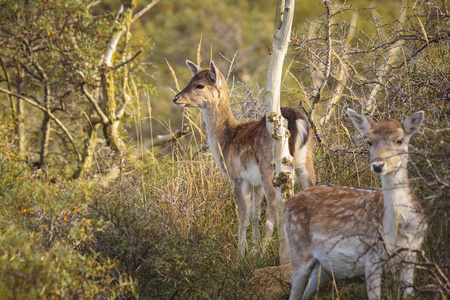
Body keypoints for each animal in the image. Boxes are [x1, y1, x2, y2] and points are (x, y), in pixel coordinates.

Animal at [172, 61, 316, 255]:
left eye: (199, 85)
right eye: (190, 80)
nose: (176, 98)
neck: (226, 140)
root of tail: (294, 120)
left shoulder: (238, 178)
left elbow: (243, 217)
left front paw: (241, 254)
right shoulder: (255, 183)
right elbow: (255, 216)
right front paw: (252, 251)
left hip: (270, 167)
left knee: (273, 210)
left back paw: (264, 251)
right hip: (306, 162)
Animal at [284, 109, 428, 300]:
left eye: (399, 140)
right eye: (369, 141)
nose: (378, 165)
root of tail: (287, 204)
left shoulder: (412, 253)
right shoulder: (372, 256)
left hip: (322, 268)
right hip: (298, 250)